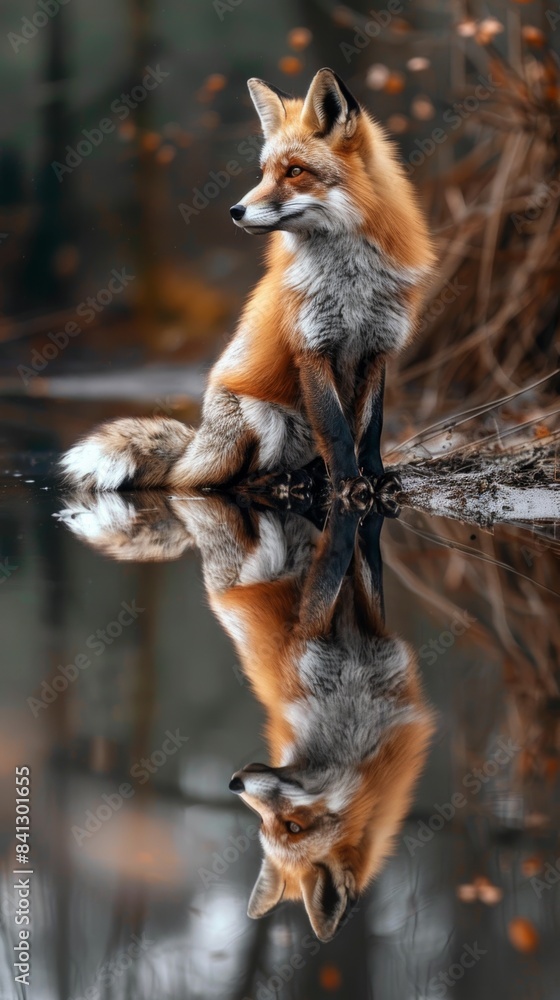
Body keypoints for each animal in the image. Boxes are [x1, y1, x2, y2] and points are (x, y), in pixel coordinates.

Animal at [57, 489, 434, 941]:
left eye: (292, 827)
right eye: (265, 828)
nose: (234, 783)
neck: (357, 730)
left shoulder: (379, 646)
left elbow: (362, 566)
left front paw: (364, 516)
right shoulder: (310, 637)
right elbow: (337, 564)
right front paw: (350, 509)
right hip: (268, 557)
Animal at [61, 67, 434, 499]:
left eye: (294, 171)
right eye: (264, 173)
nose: (235, 210)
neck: (351, 281)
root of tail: (196, 444)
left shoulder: (378, 349)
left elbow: (371, 429)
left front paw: (374, 476)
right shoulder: (311, 348)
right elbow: (337, 430)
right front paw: (348, 482)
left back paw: (312, 476)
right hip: (262, 419)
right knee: (231, 481)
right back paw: (286, 481)